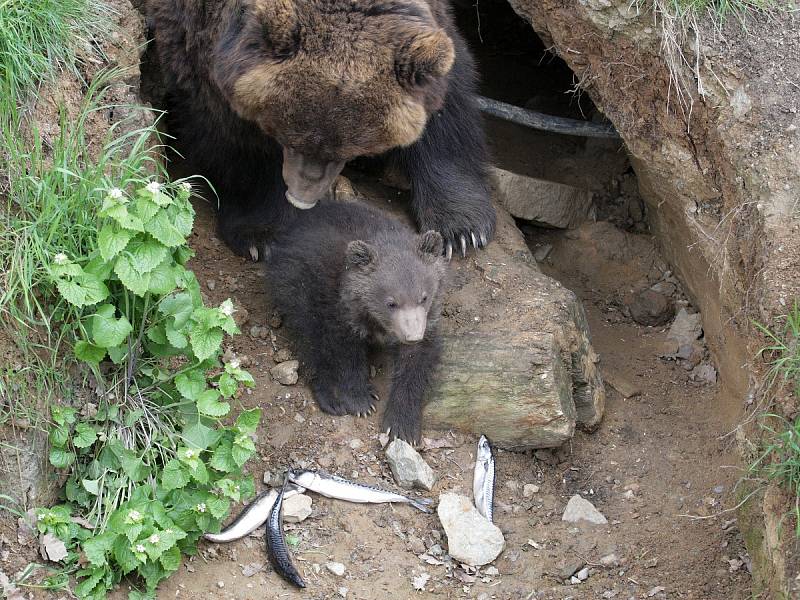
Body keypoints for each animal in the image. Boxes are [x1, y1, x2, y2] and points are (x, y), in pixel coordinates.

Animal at [146, 1, 490, 262]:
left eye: (352, 149)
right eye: (288, 138)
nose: (302, 196)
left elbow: (448, 112)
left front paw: (463, 230)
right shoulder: (199, 47)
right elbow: (232, 138)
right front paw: (262, 232)